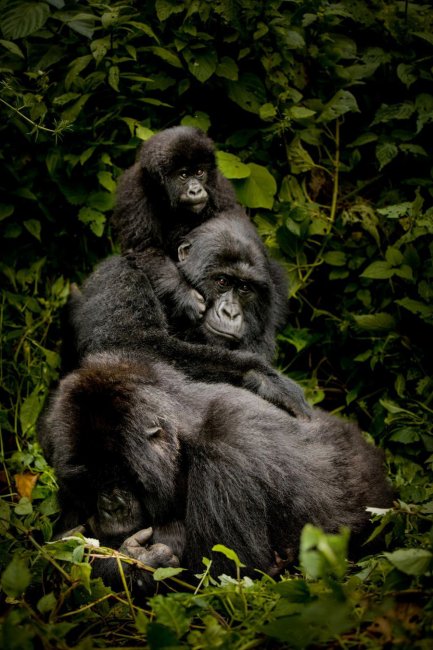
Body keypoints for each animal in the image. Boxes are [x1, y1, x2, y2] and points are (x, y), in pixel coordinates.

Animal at [39, 350, 392, 592]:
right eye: (90, 479)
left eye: (117, 474)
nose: (110, 507)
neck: (181, 437)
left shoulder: (229, 453)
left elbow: (223, 576)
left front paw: (133, 563)